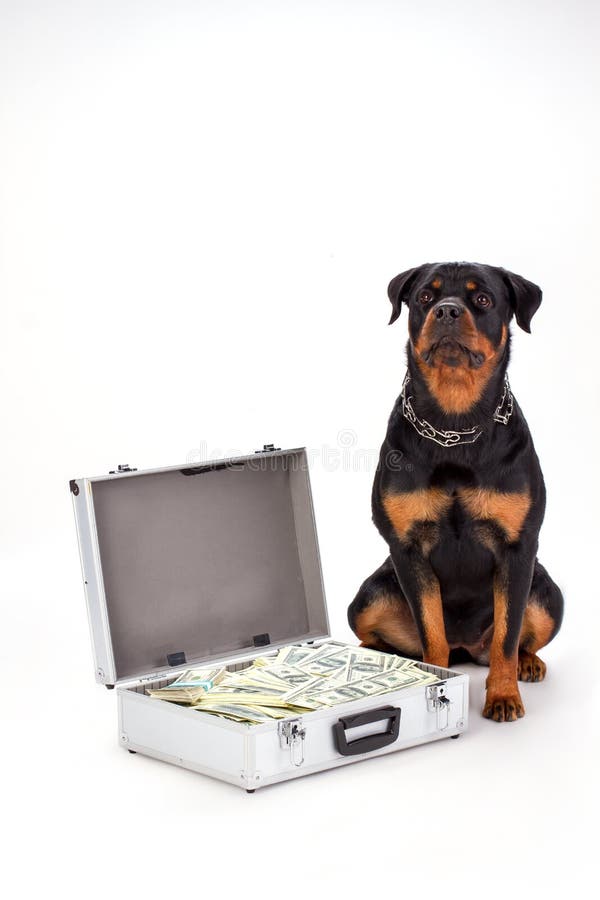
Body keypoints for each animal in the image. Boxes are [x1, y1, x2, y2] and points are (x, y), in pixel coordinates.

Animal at [350, 262, 564, 724]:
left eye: (482, 298)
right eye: (424, 297)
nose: (447, 310)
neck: (455, 424)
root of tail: (467, 648)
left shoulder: (517, 549)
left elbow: (506, 636)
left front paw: (503, 695)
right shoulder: (408, 549)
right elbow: (432, 631)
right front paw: (433, 681)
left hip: (548, 595)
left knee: (520, 636)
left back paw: (528, 663)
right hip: (368, 597)